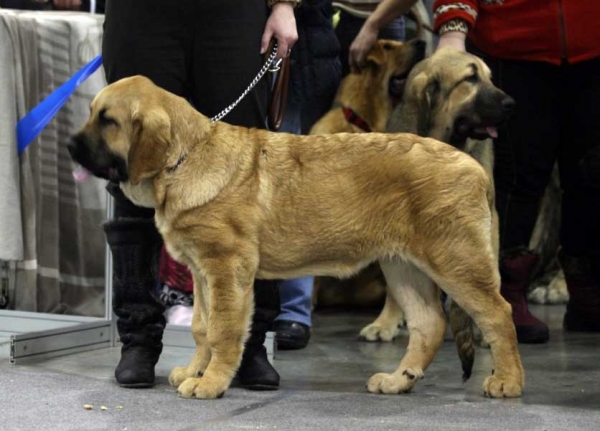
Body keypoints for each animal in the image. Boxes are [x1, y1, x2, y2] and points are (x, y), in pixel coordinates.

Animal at [68, 75, 524, 402]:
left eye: (107, 120)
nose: (70, 145)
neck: (186, 158)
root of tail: (475, 168)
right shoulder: (202, 272)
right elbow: (201, 326)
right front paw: (196, 370)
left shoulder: (226, 268)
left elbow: (223, 330)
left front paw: (210, 383)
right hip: (403, 267)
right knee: (429, 323)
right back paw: (399, 380)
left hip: (456, 260)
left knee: (498, 315)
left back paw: (508, 381)